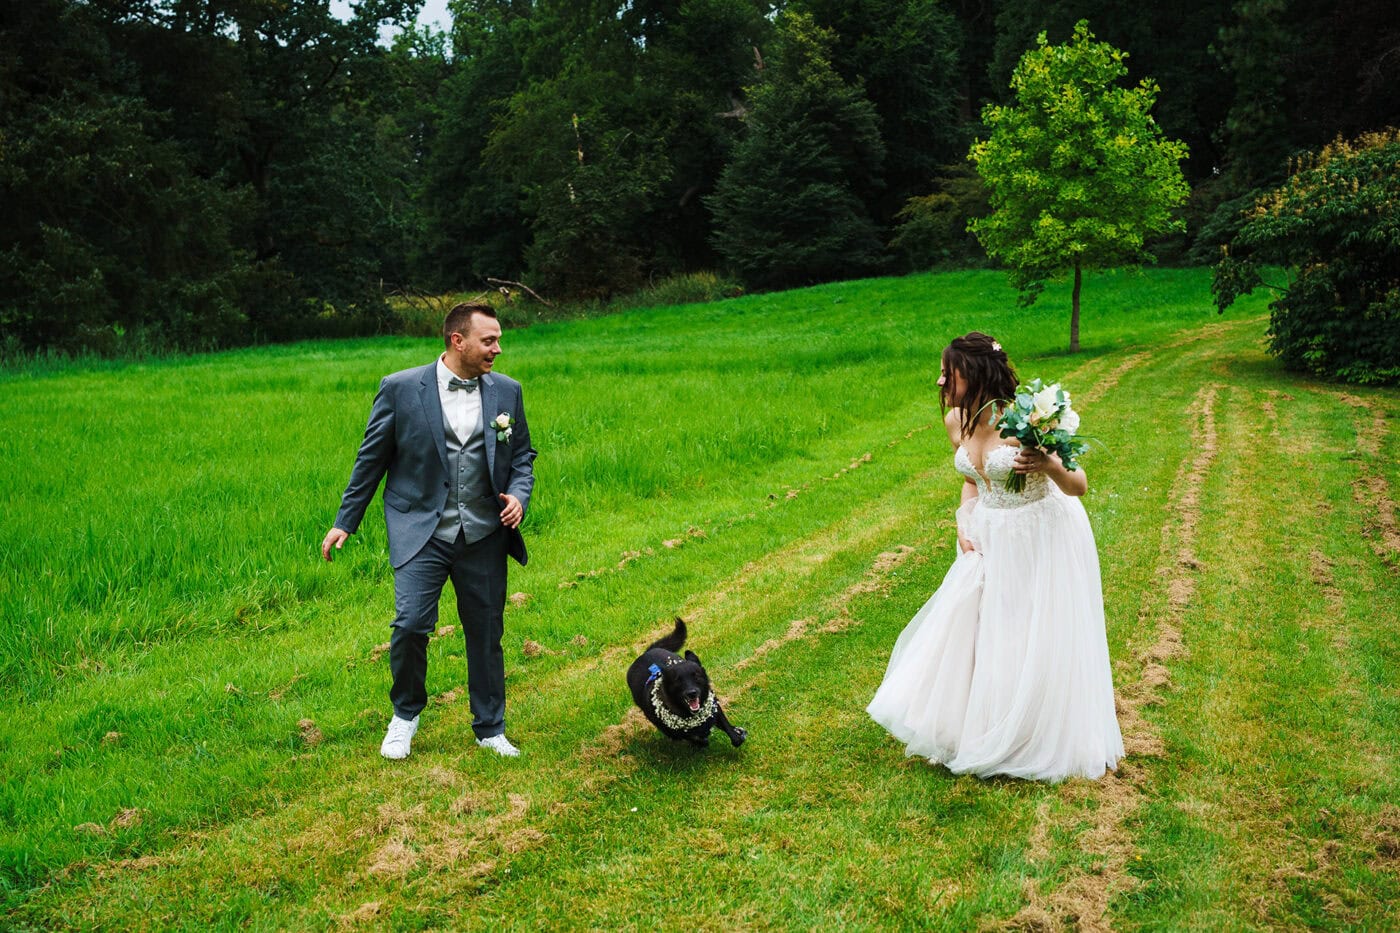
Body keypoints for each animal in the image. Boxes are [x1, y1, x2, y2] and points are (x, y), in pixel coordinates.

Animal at [630, 616, 750, 750]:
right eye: (678, 680)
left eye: (696, 676)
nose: (691, 693)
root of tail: (645, 654)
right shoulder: (674, 733)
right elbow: (695, 738)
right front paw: (702, 740)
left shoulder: (714, 707)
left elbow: (729, 730)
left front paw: (737, 734)